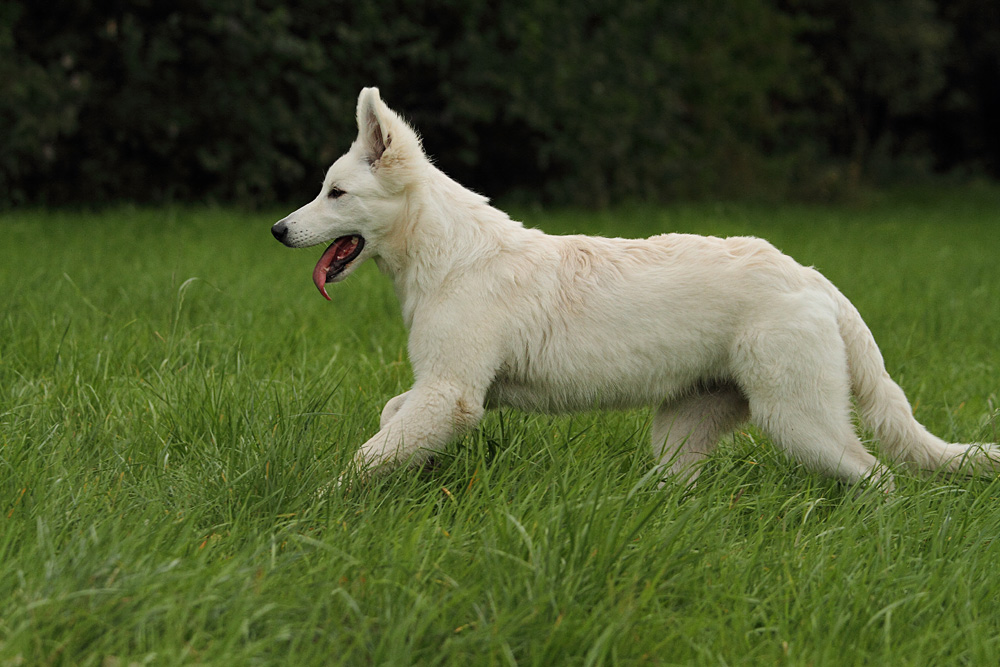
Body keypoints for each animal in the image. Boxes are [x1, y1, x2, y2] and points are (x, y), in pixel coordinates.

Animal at [270, 87, 998, 491]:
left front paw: (320, 507)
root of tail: (811, 276)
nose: (278, 230)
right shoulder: (445, 390)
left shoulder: (453, 394)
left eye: (335, 193)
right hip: (683, 433)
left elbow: (363, 459)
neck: (447, 255)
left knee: (881, 477)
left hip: (801, 422)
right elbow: (390, 419)